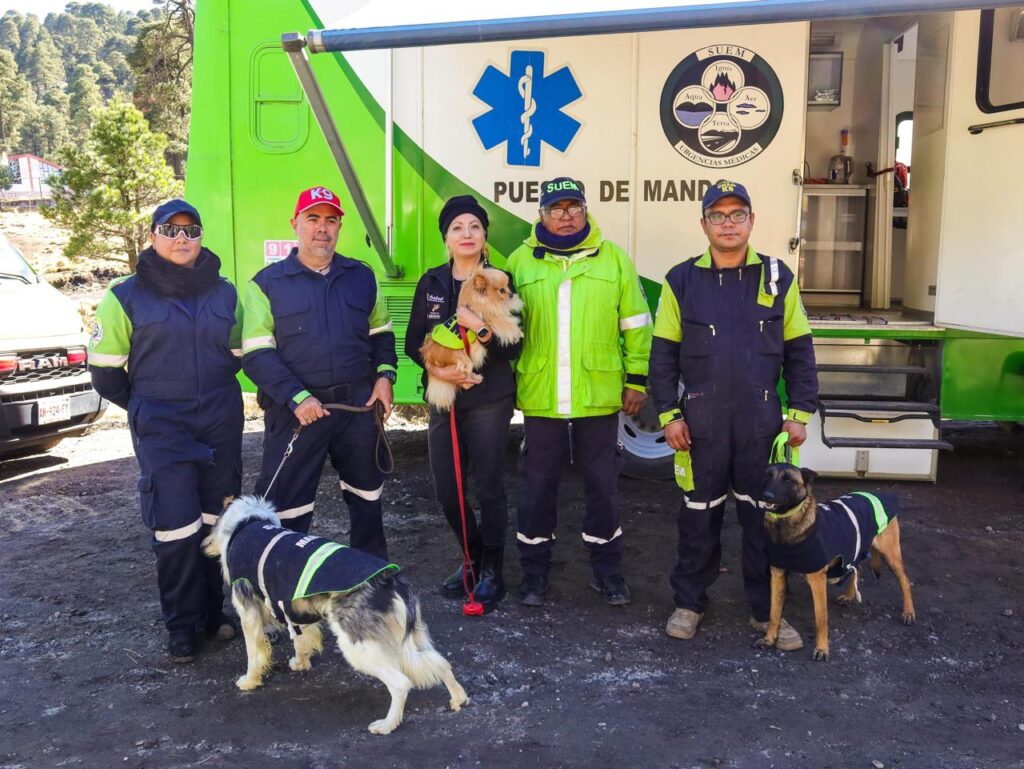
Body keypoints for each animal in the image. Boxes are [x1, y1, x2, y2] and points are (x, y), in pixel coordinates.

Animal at [200, 495, 471, 737]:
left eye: (211, 525)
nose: (202, 547)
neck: (246, 523)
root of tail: (392, 581)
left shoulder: (248, 612)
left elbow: (254, 653)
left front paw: (249, 681)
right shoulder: (291, 606)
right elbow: (301, 640)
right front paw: (301, 663)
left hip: (359, 647)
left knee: (401, 684)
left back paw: (387, 725)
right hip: (414, 639)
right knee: (441, 663)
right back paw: (458, 698)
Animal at [419, 266, 524, 411]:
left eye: (508, 287)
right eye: (502, 290)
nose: (511, 294)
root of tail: (430, 355)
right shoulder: (489, 320)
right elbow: (505, 323)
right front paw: (517, 332)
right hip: (461, 357)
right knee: (465, 370)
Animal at [757, 462, 917, 663]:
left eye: (787, 480)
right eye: (767, 476)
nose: (766, 496)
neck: (786, 526)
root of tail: (875, 494)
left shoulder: (817, 580)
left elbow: (821, 619)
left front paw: (822, 649)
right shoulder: (777, 574)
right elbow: (774, 612)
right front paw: (769, 639)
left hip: (891, 555)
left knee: (905, 581)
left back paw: (908, 612)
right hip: (853, 548)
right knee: (858, 567)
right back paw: (849, 596)